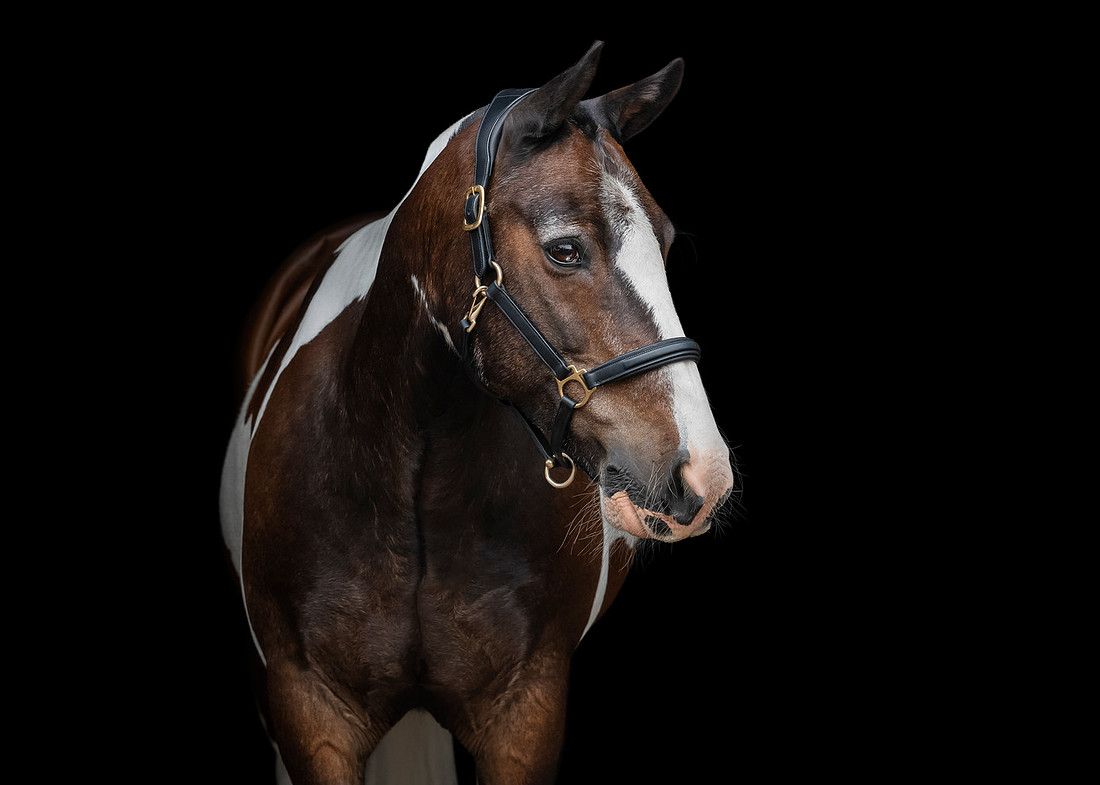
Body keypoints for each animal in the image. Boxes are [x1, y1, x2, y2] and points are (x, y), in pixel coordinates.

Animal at [220, 41, 736, 785]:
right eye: (564, 248)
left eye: (664, 245)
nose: (705, 474)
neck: (409, 480)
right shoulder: (308, 707)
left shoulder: (525, 712)